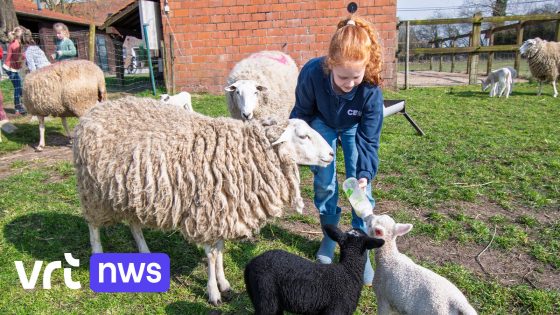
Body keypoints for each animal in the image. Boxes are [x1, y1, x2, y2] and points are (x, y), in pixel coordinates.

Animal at [70, 96, 332, 306]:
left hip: (132, 191)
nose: (331, 154)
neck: (244, 152)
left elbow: (220, 249)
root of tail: (95, 110)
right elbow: (211, 255)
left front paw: (224, 284)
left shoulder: (223, 210)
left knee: (134, 224)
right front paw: (213, 292)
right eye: (303, 136)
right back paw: (97, 254)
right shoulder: (205, 212)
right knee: (93, 226)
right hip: (92, 191)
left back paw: (145, 252)